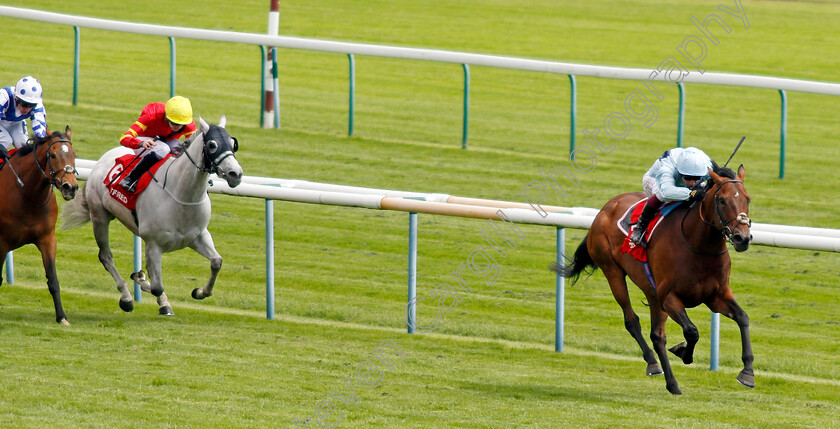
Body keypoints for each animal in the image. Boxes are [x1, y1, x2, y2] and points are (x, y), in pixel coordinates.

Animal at [0, 127, 79, 324]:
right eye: (52, 155)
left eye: (74, 154)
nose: (70, 187)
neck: (27, 193)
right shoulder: (2, 242)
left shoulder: (47, 238)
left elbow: (53, 280)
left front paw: (62, 317)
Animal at [60, 116, 240, 314]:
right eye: (212, 145)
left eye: (233, 143)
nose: (236, 174)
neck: (181, 195)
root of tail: (103, 158)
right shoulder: (154, 244)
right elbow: (156, 286)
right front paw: (143, 282)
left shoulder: (197, 236)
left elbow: (216, 262)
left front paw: (199, 292)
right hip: (99, 216)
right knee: (106, 256)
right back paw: (126, 297)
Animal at [552, 164, 756, 394]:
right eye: (722, 200)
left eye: (747, 199)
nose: (742, 238)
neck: (699, 247)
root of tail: (606, 208)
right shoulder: (669, 297)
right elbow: (691, 331)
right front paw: (684, 352)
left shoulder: (716, 296)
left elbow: (742, 317)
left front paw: (747, 373)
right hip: (613, 272)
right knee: (632, 321)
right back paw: (653, 364)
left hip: (651, 290)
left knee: (657, 335)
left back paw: (671, 383)